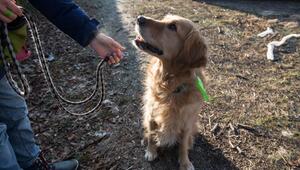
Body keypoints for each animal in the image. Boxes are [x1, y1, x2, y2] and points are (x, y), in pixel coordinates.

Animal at [134, 14, 209, 170]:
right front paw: (151, 151)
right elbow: (152, 135)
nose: (139, 18)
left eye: (173, 27)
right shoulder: (152, 113)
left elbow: (183, 145)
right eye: (164, 19)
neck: (171, 86)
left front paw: (185, 162)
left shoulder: (186, 122)